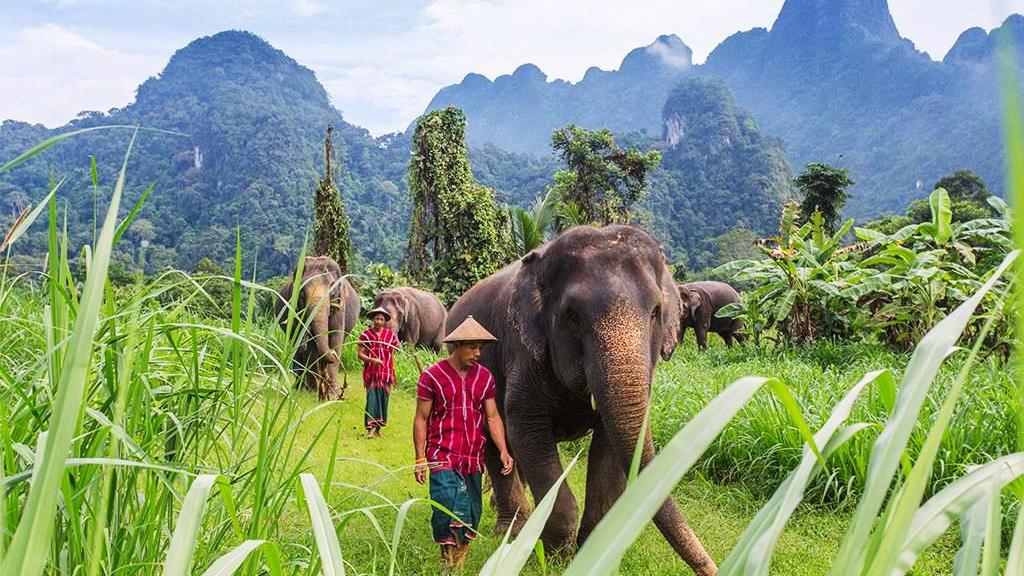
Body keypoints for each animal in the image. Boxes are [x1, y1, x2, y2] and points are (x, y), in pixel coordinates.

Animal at [275, 255, 356, 400]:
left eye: (332, 289)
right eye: (302, 292)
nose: (332, 354)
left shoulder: (340, 308)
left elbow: (336, 338)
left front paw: (332, 395)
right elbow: (310, 346)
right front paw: (312, 393)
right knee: (297, 350)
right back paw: (299, 388)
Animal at [447, 225, 717, 575]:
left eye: (656, 312)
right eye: (573, 315)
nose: (713, 568)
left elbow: (609, 448)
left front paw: (591, 554)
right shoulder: (524, 355)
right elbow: (526, 433)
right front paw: (556, 557)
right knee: (494, 442)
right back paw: (510, 532)